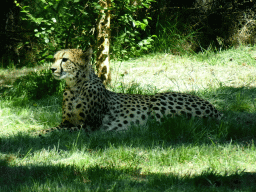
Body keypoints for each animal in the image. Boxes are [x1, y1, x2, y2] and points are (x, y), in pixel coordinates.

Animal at [42, 48, 222, 134]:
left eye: (65, 59)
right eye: (54, 59)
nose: (52, 69)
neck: (75, 86)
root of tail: (215, 109)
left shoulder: (90, 125)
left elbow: (51, 130)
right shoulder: (67, 122)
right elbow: (53, 128)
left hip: (158, 98)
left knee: (160, 126)